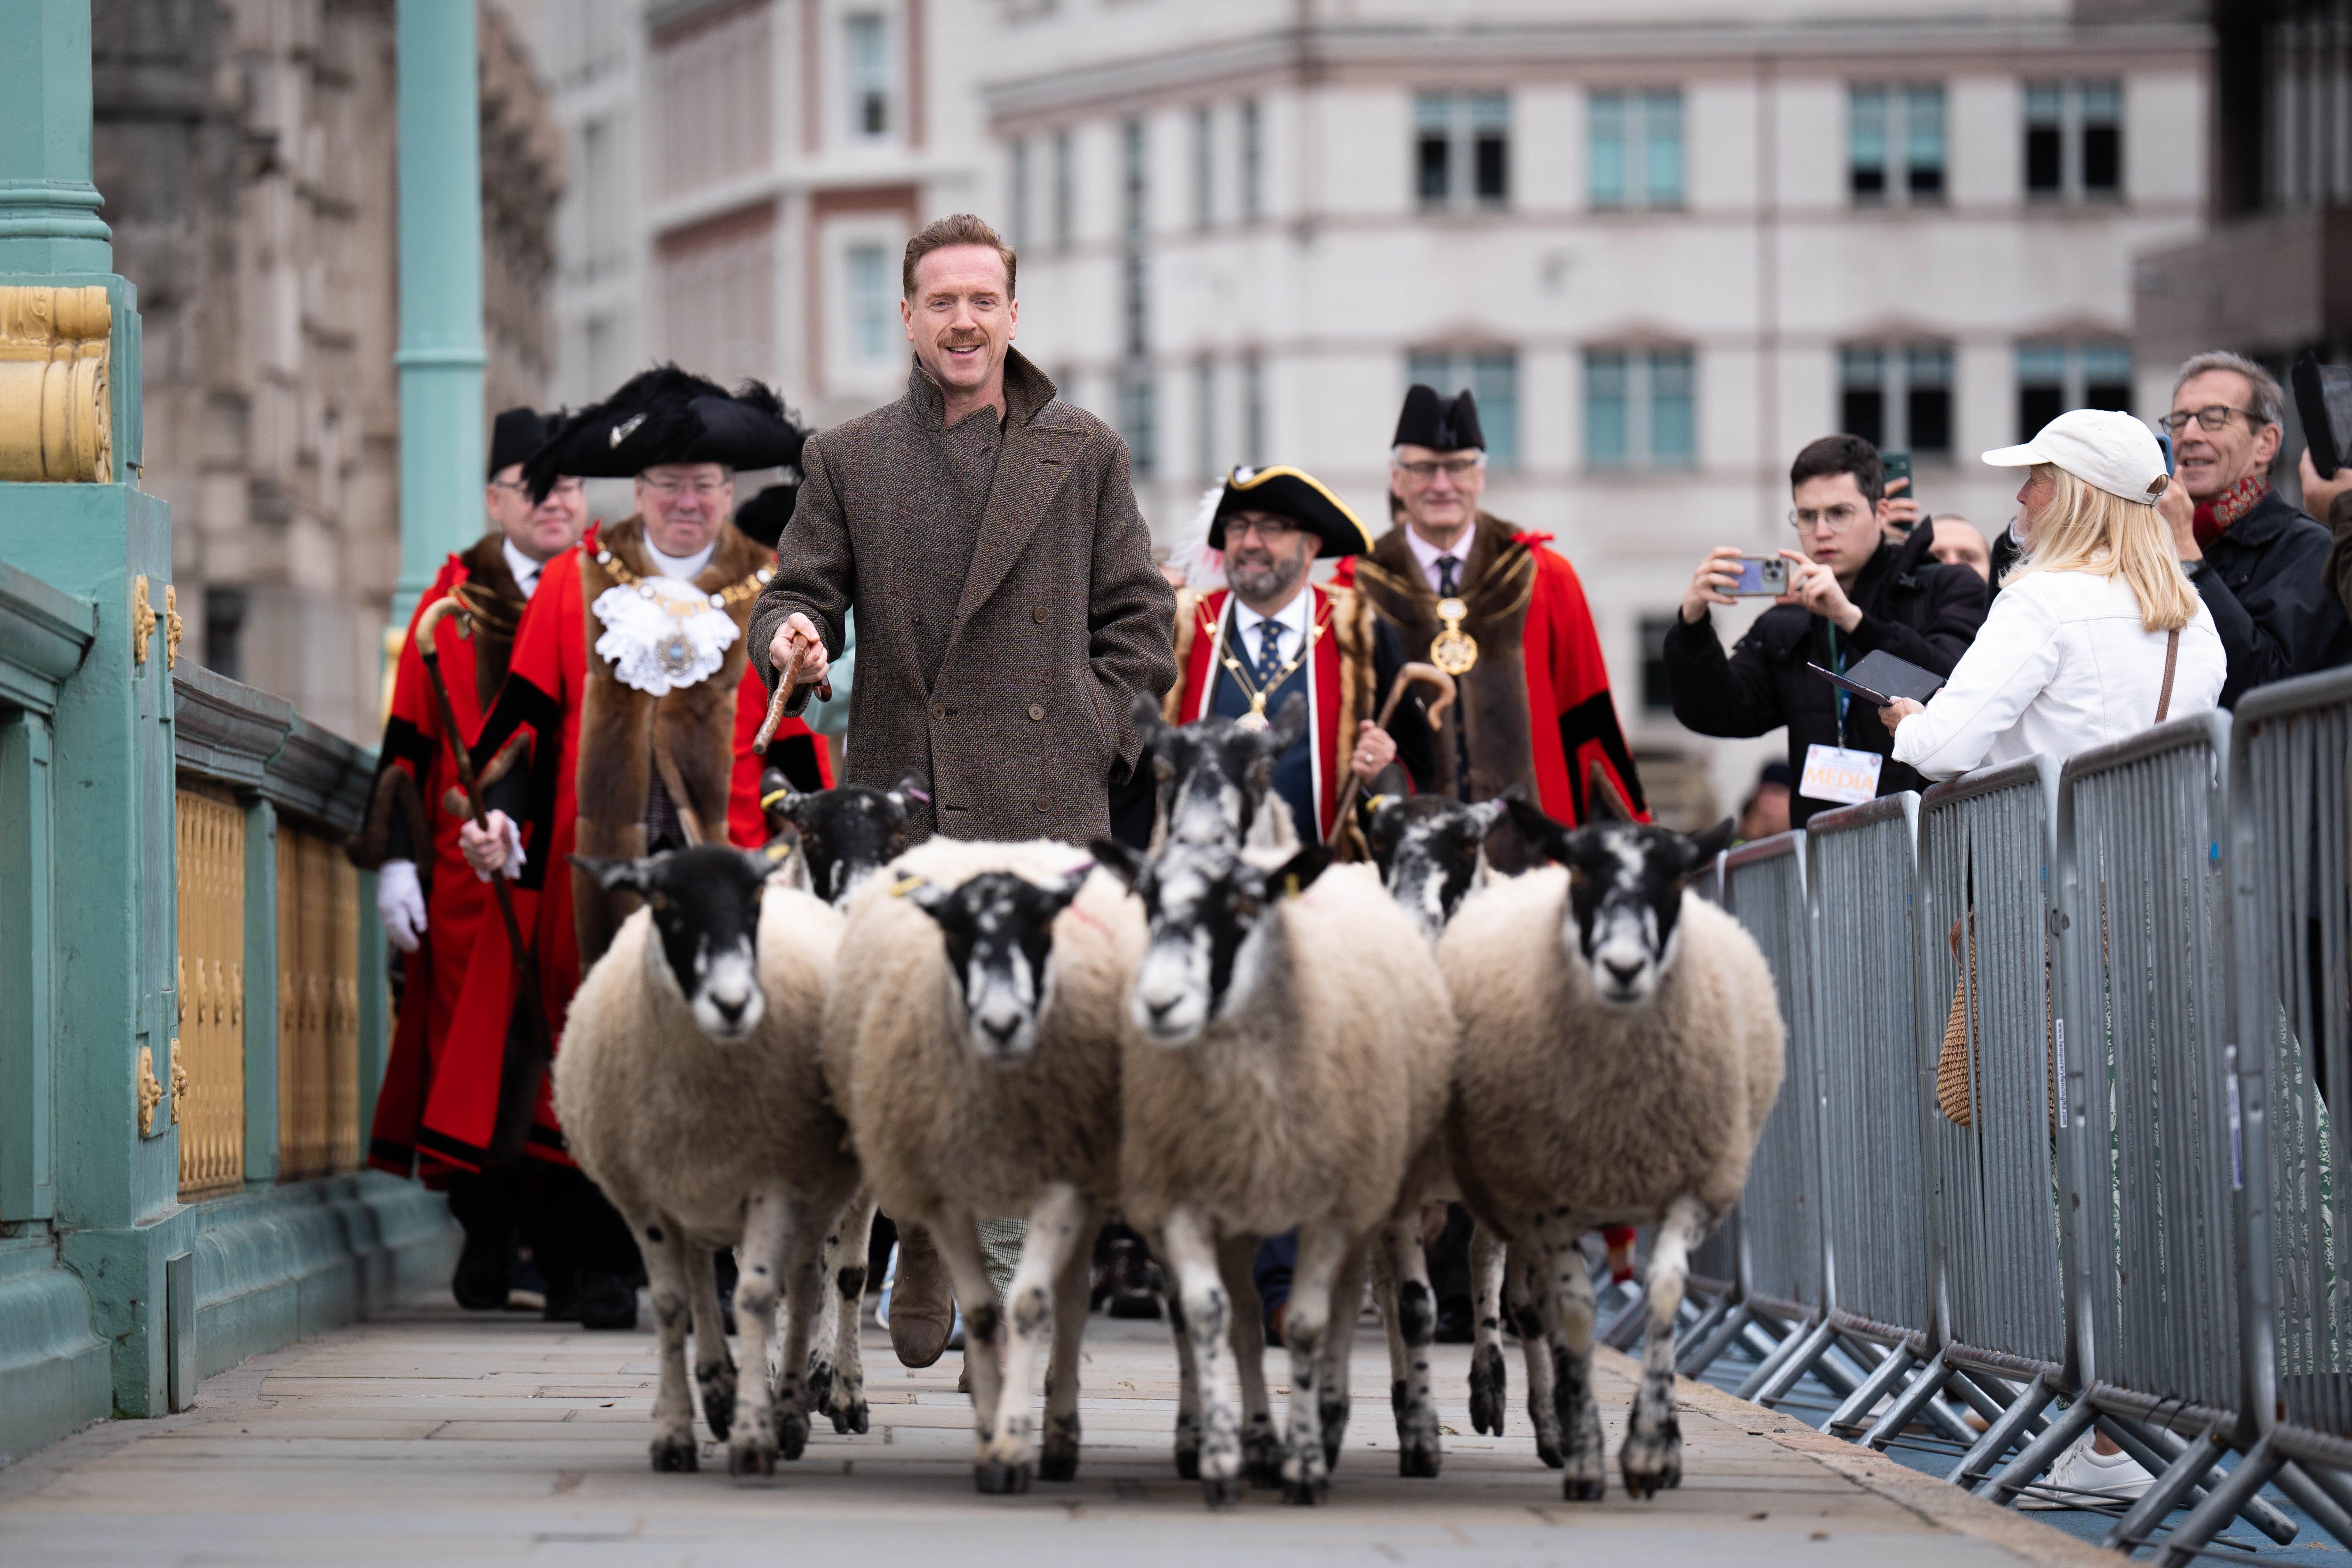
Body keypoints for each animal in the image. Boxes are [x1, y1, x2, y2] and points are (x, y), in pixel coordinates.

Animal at [552, 846, 865, 1476]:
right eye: (662, 900)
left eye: (751, 900)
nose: (731, 1003)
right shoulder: (649, 1195)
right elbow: (676, 1302)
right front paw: (679, 1431)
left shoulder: (778, 1180)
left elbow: (768, 1291)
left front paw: (759, 1430)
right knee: (718, 1275)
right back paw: (729, 1387)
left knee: (829, 1277)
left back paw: (828, 1389)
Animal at [1096, 832, 1458, 1504]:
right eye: (1147, 900)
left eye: (1244, 904)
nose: (1159, 1002)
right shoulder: (1184, 1200)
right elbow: (1210, 1315)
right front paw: (1223, 1454)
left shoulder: (1337, 1206)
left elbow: (1316, 1323)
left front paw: (1308, 1462)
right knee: (1231, 1317)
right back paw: (1247, 1440)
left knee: (1351, 1301)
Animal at [1430, 804, 1778, 1504]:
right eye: (1582, 874)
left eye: (1676, 880)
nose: (1623, 967)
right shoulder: (1547, 1199)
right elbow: (1569, 1310)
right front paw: (1586, 1453)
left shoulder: (1692, 1189)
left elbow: (1665, 1291)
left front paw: (1651, 1449)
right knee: (1490, 1271)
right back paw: (1496, 1396)